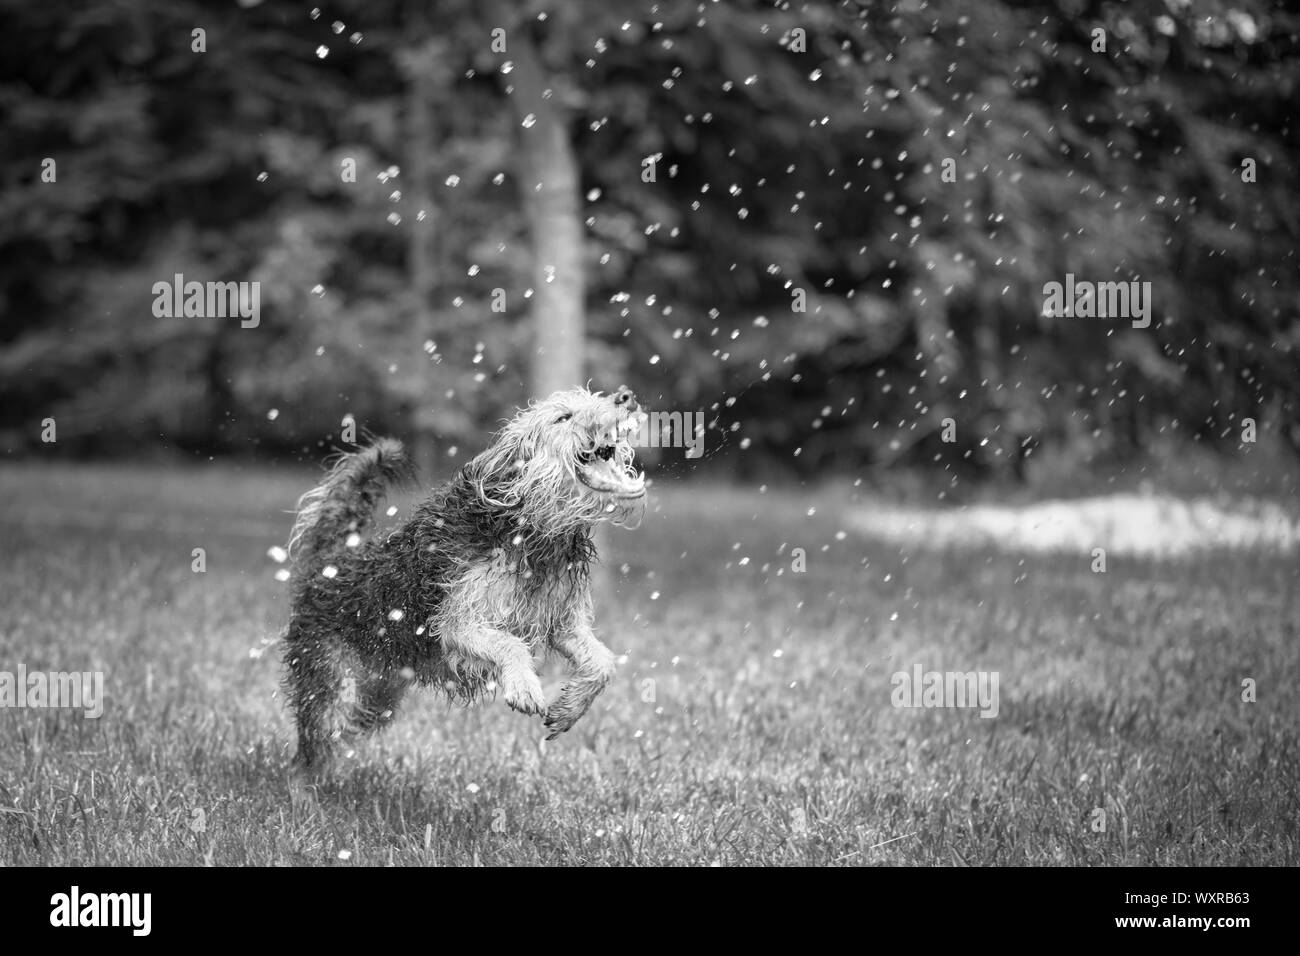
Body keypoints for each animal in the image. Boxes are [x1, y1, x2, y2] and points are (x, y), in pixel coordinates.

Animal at [286, 385, 650, 764]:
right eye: (563, 417)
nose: (625, 397)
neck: (531, 528)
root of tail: (331, 562)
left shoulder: (563, 621)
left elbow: (604, 662)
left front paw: (570, 708)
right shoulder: (456, 623)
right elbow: (510, 644)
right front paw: (524, 686)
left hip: (378, 695)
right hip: (332, 686)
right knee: (311, 753)